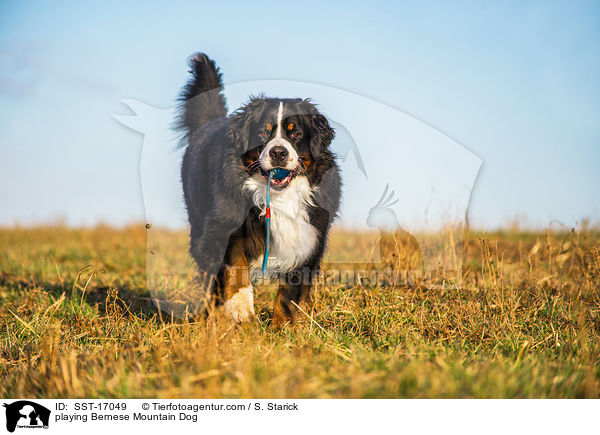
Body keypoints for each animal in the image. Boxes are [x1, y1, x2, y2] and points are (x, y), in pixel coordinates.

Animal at [176, 53, 340, 328]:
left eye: (296, 133)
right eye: (263, 132)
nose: (278, 152)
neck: (279, 198)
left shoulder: (309, 235)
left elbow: (289, 292)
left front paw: (282, 327)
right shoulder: (223, 226)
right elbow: (236, 266)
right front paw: (241, 307)